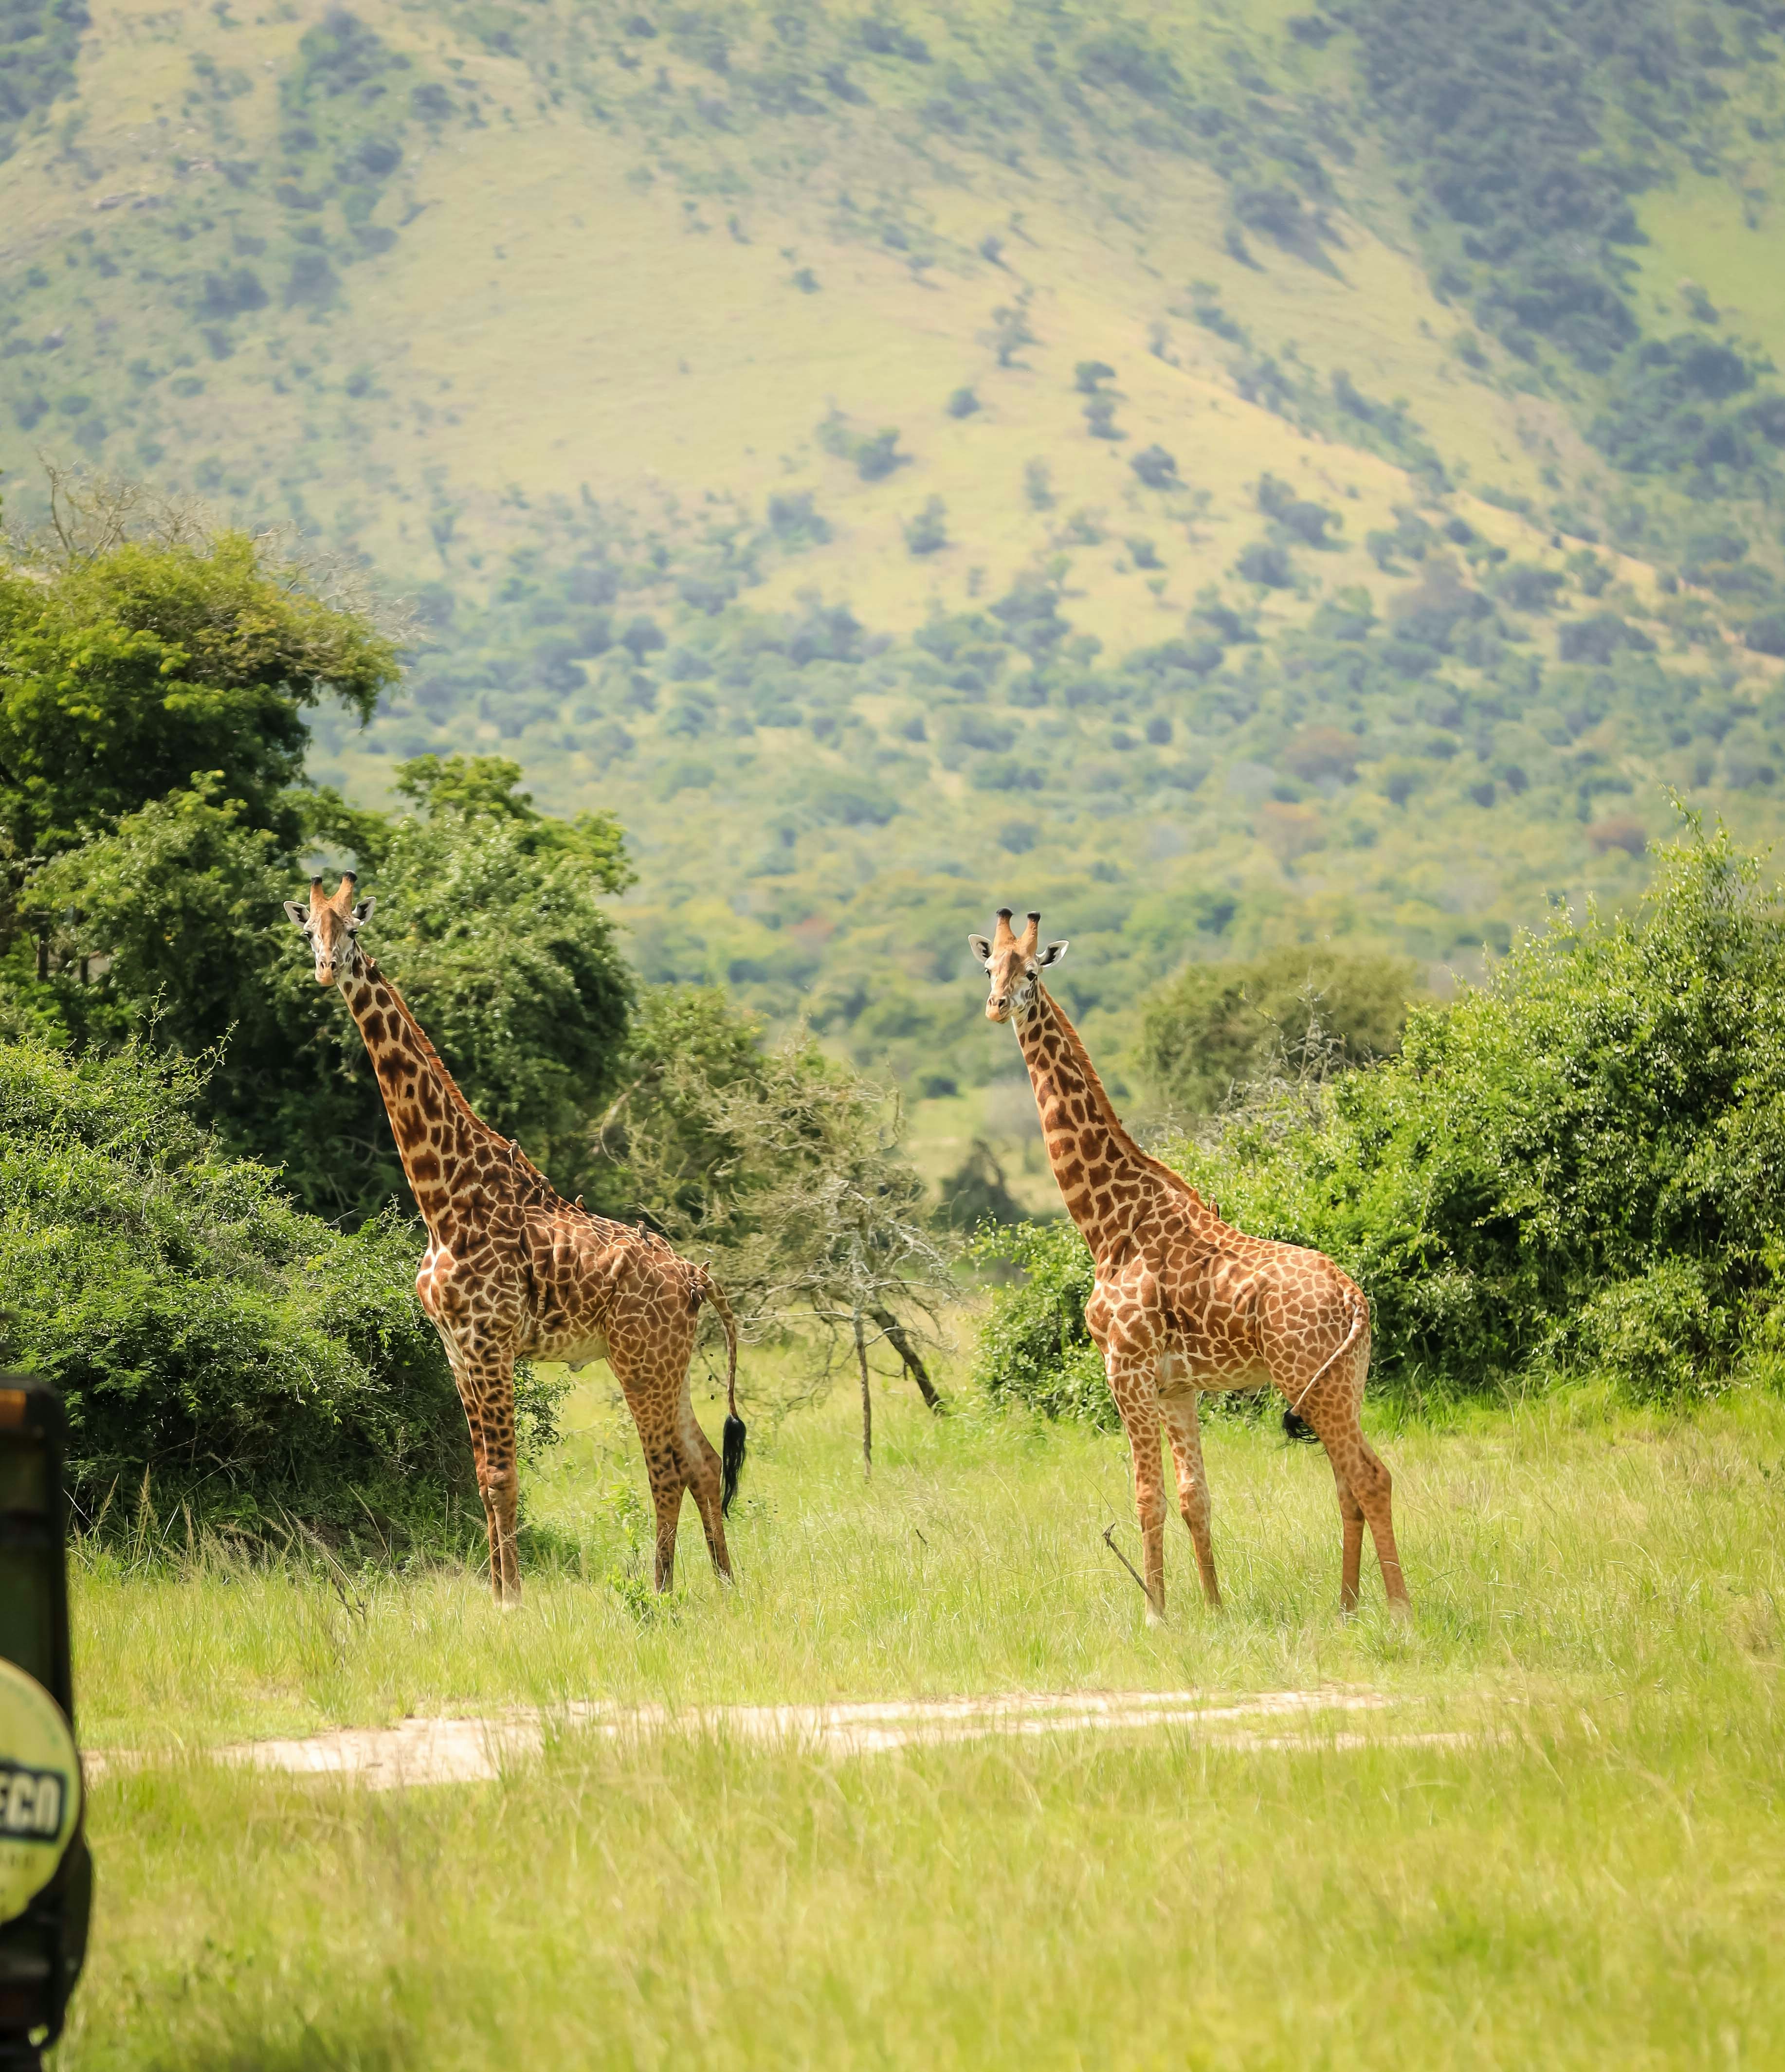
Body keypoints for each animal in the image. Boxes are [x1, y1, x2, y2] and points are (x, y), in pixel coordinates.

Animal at [283, 873, 745, 1606]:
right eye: (308, 931)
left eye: (352, 930)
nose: (328, 970)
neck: (444, 1196)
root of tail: (697, 1278)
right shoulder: (456, 1351)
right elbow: (481, 1477)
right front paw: (496, 1592)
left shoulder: (489, 1342)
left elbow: (502, 1477)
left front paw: (511, 1600)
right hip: (666, 1362)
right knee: (702, 1460)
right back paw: (725, 1583)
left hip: (638, 1360)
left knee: (666, 1468)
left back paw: (661, 1589)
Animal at [968, 909, 1409, 1623]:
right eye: (988, 968)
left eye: (1031, 972)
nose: (995, 1005)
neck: (1107, 1223)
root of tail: (1355, 1298)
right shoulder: (1178, 1385)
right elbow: (1193, 1498)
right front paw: (1215, 1608)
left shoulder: (1126, 1369)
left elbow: (1146, 1497)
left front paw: (1156, 1614)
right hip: (1345, 1380)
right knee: (1348, 1482)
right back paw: (1344, 1608)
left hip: (1307, 1378)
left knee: (1370, 1477)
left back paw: (1398, 1612)